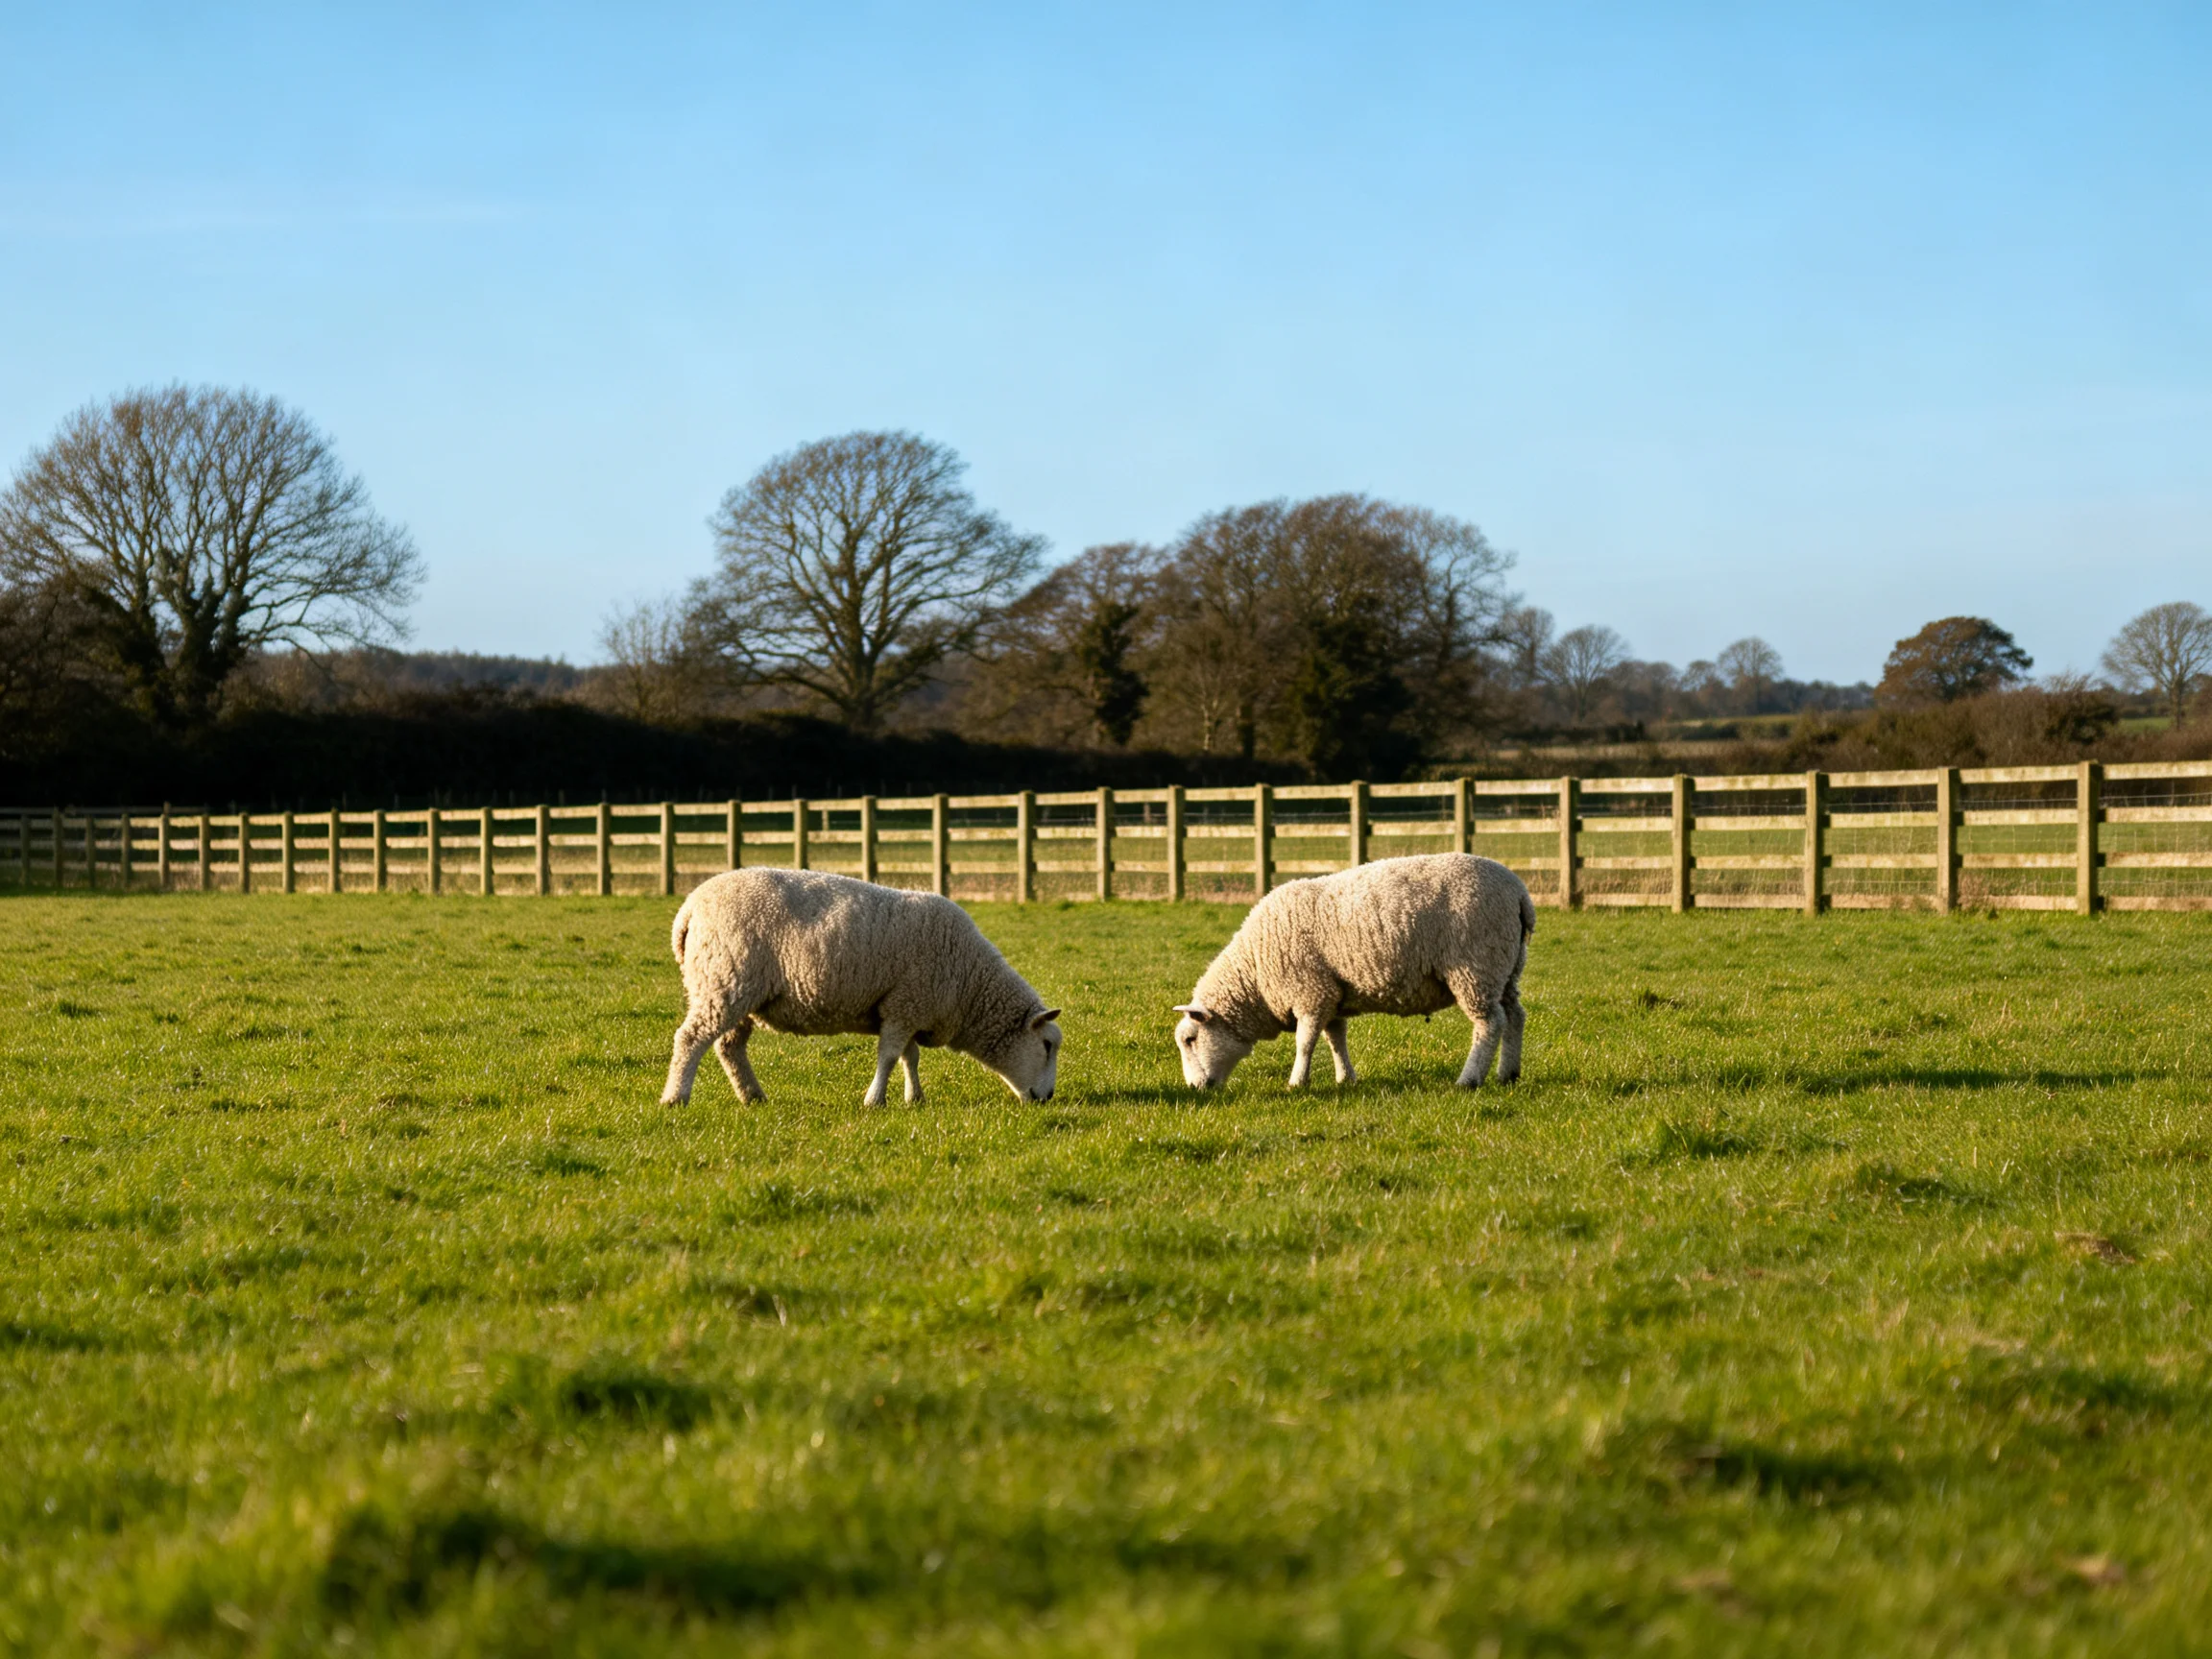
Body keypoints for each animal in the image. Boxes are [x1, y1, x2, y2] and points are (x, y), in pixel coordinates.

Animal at [661, 868, 1062, 1109]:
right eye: (1046, 1045)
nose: (1048, 1097)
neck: (971, 984)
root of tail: (688, 909)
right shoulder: (905, 1005)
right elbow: (889, 1056)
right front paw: (875, 1100)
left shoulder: (906, 1007)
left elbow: (909, 1057)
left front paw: (914, 1098)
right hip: (723, 981)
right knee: (691, 1039)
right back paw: (676, 1097)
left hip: (739, 992)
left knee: (729, 1047)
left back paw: (753, 1096)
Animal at [1172, 852, 1535, 1091]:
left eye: (1191, 1039)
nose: (1194, 1088)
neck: (1256, 974)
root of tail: (1519, 893)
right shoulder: (1332, 994)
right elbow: (1336, 1040)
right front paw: (1346, 1078)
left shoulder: (1311, 993)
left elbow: (1305, 1043)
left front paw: (1297, 1082)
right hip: (1506, 967)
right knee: (1515, 1015)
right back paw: (1508, 1074)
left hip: (1476, 966)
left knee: (1489, 1024)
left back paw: (1470, 1079)